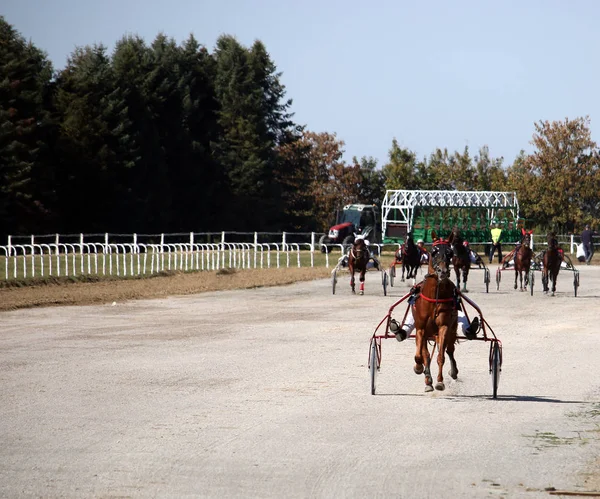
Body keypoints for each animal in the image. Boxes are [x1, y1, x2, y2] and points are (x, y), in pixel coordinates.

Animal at [412, 229, 460, 392]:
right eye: (434, 252)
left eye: (450, 253)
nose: (442, 272)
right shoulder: (420, 328)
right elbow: (421, 356)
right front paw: (420, 370)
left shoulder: (444, 327)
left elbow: (441, 356)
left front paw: (439, 382)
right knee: (426, 353)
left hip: (451, 329)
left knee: (449, 350)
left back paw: (453, 371)